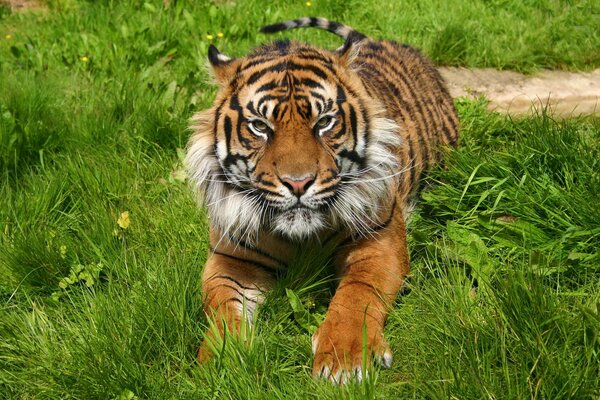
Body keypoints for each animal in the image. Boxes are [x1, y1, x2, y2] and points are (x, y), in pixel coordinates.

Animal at [185, 17, 458, 382]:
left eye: (324, 122)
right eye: (260, 126)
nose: (298, 183)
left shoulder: (379, 241)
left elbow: (357, 295)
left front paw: (344, 360)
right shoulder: (231, 260)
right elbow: (222, 313)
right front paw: (220, 365)